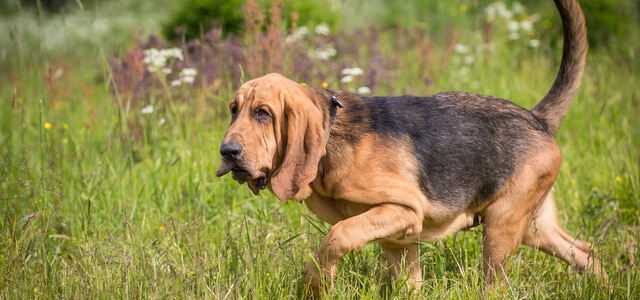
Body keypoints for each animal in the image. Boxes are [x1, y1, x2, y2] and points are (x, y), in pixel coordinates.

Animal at [215, 0, 604, 296]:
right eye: (234, 110)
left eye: (263, 113)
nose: (227, 152)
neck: (332, 137)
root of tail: (538, 118)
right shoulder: (399, 241)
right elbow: (407, 282)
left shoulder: (402, 210)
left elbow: (335, 237)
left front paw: (317, 284)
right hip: (535, 228)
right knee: (587, 254)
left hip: (501, 230)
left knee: (498, 283)